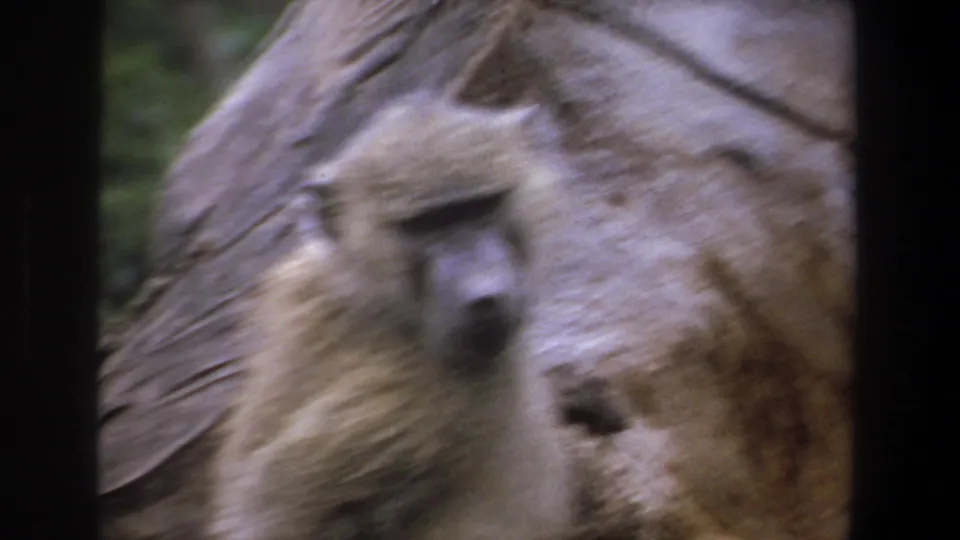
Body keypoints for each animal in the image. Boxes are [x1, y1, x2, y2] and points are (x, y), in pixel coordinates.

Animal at [209, 92, 573, 540]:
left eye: (481, 206)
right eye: (426, 224)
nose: (484, 296)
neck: (380, 309)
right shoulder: (441, 391)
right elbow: (274, 504)